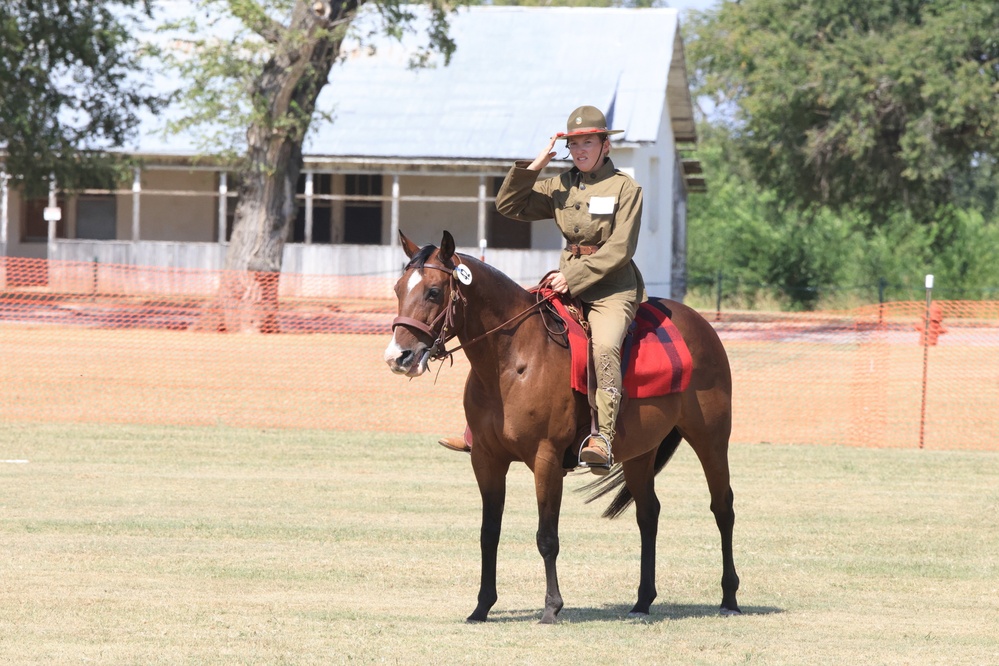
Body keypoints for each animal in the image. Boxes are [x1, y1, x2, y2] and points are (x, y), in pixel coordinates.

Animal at [384, 230, 744, 624]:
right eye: (398, 288)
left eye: (434, 292)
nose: (397, 357)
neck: (513, 359)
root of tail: (701, 323)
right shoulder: (486, 460)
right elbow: (488, 533)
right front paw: (481, 606)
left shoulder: (547, 460)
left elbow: (547, 537)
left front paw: (551, 607)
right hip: (641, 453)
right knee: (648, 514)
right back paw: (642, 600)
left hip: (711, 439)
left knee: (723, 507)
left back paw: (729, 597)